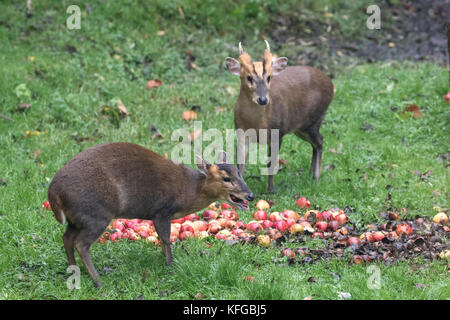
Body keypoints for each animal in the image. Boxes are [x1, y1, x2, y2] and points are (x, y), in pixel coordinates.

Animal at [49, 142, 255, 288]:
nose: (250, 195)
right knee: (80, 243)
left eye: (239, 172)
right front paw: (171, 266)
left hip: (78, 218)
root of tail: (54, 193)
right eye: (226, 178)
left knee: (67, 238)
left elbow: (162, 240)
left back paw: (73, 271)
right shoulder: (162, 210)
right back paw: (98, 281)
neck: (189, 191)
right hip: (97, 214)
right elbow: (165, 239)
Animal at [225, 40, 334, 192]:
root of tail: (331, 83)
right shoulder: (241, 132)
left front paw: (271, 191)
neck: (256, 124)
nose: (263, 100)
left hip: (314, 120)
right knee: (317, 142)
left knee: (320, 141)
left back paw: (316, 178)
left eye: (269, 77)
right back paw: (311, 175)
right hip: (300, 128)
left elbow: (271, 164)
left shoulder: (278, 132)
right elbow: (240, 164)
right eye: (249, 77)